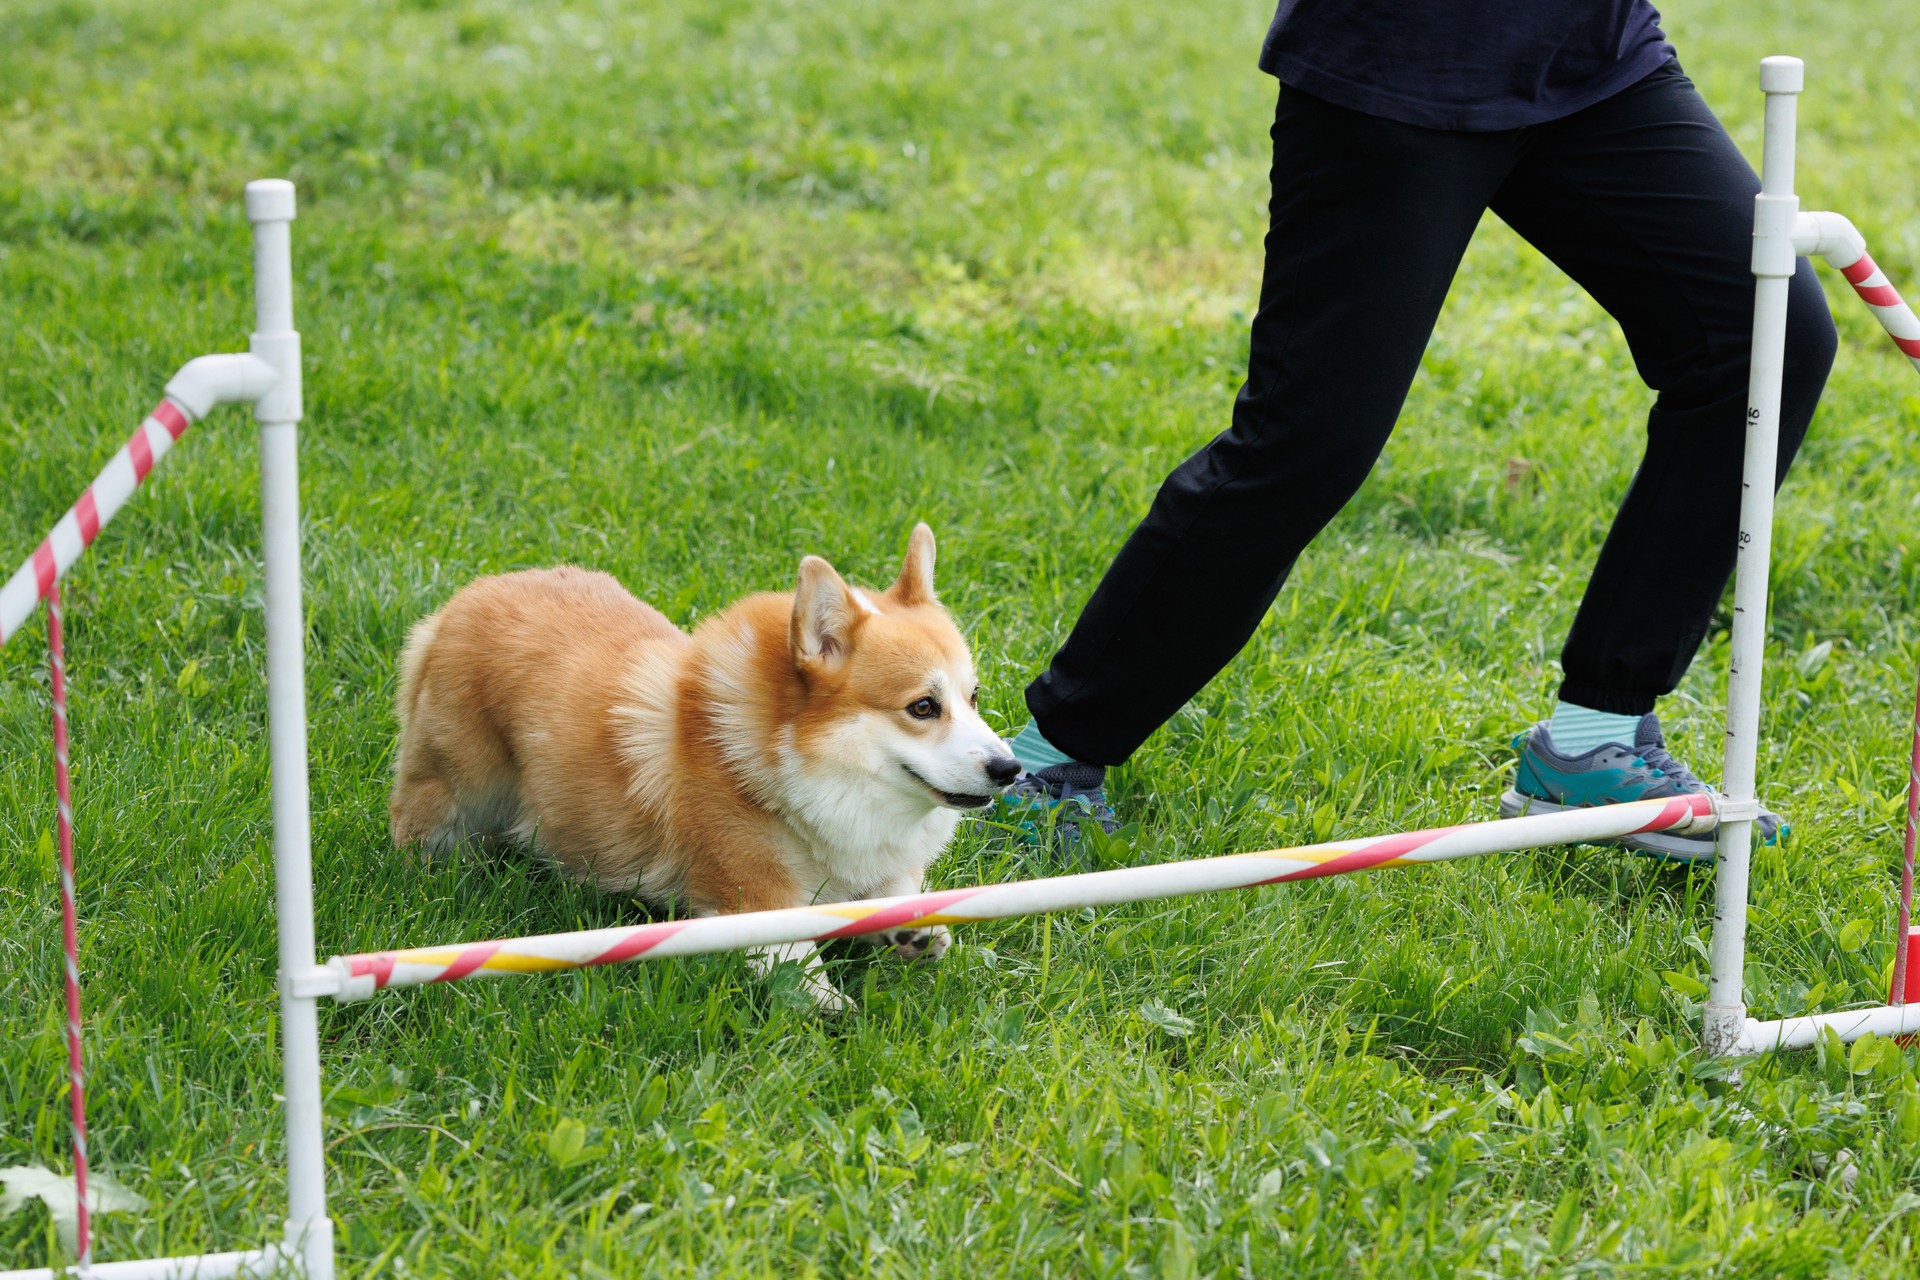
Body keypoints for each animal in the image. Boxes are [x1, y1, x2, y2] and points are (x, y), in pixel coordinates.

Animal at [389, 525, 1021, 1005]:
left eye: (973, 697)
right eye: (923, 707)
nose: (1009, 770)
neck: (802, 763)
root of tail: (459, 603)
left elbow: (896, 891)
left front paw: (915, 931)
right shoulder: (754, 896)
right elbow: (798, 963)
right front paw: (830, 1008)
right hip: (455, 790)